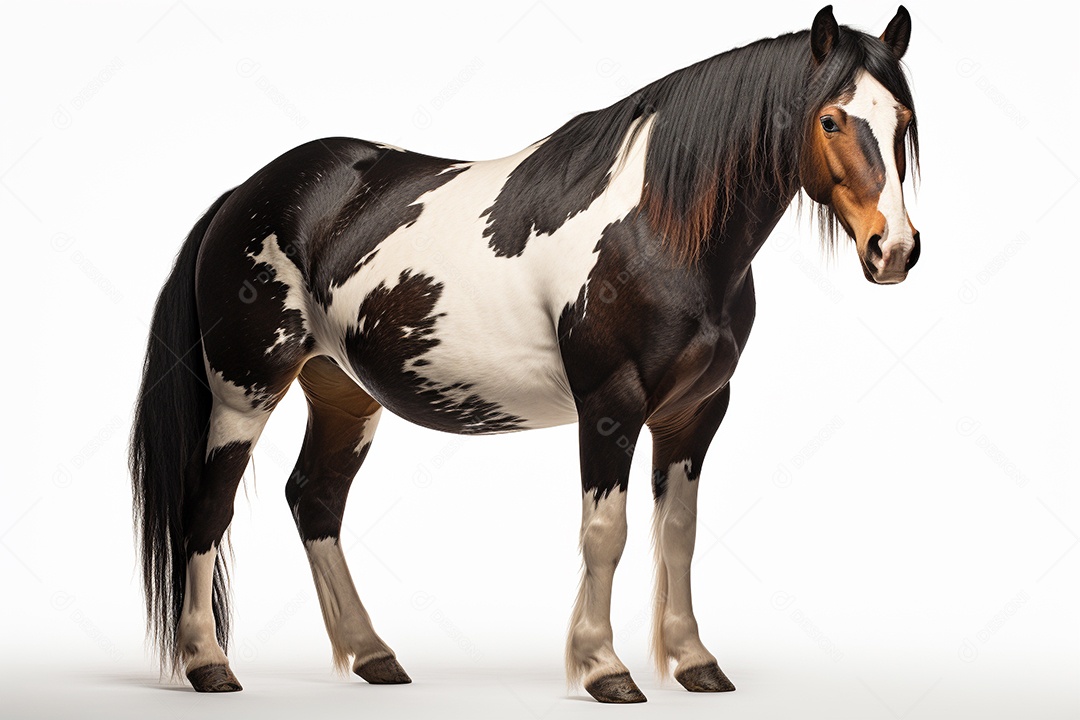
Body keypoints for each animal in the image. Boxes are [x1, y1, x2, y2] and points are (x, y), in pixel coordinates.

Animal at [130, 5, 920, 703]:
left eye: (903, 122)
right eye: (830, 118)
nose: (895, 249)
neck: (656, 229)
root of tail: (245, 193)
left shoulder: (695, 413)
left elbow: (679, 535)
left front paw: (695, 661)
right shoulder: (609, 404)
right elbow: (607, 533)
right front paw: (604, 669)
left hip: (343, 394)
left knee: (315, 501)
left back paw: (374, 655)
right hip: (244, 391)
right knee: (209, 510)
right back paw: (209, 664)